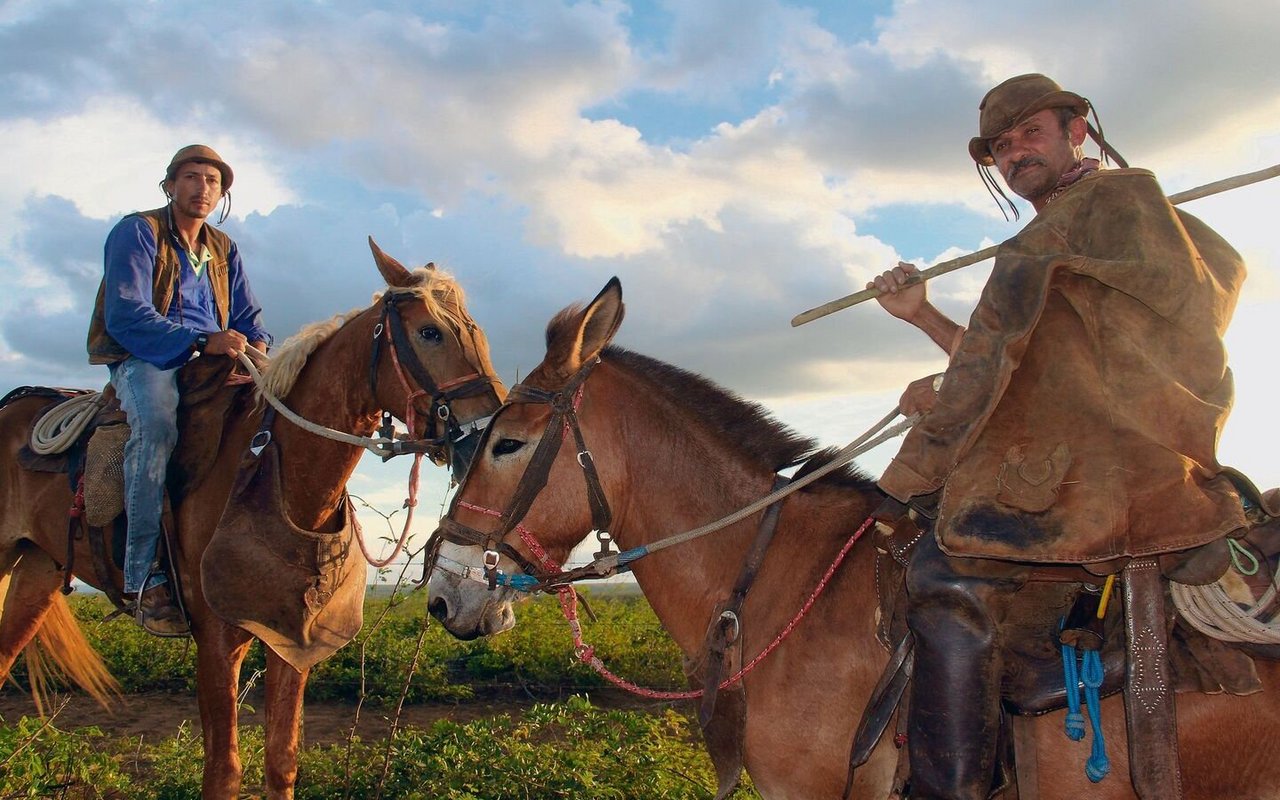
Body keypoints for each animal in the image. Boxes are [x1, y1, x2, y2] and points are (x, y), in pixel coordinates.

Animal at [0, 239, 505, 800]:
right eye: (430, 332)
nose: (484, 437)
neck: (278, 476)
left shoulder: (293, 641)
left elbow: (281, 761)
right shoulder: (217, 641)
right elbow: (223, 771)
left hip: (37, 574)